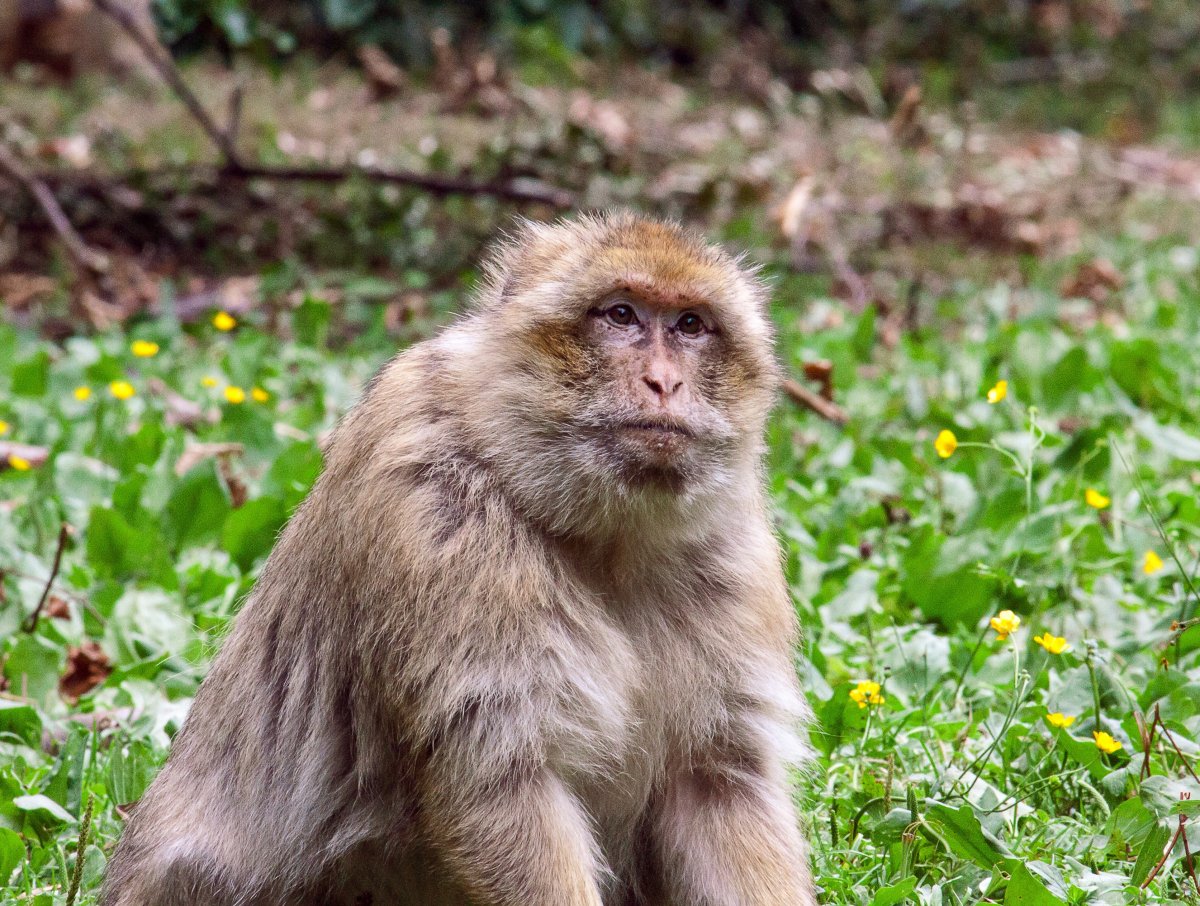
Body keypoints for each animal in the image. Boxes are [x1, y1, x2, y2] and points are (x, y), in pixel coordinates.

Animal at [100, 214, 816, 906]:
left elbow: (717, 783)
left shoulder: (730, 547)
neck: (603, 538)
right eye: (621, 314)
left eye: (691, 324)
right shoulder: (436, 513)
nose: (664, 381)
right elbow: (499, 779)